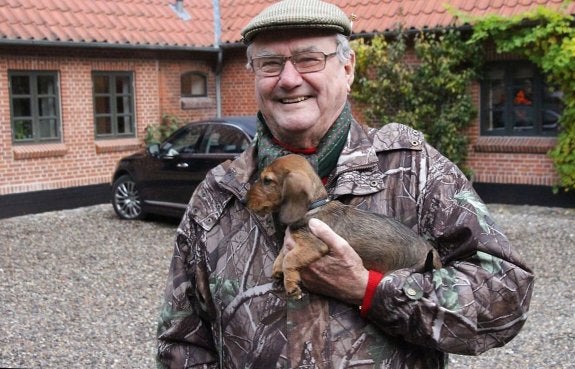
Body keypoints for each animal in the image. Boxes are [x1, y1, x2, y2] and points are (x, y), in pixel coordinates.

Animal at [246, 153, 440, 300]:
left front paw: (291, 284)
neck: (314, 207)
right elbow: (283, 253)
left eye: (267, 180)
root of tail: (433, 253)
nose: (246, 200)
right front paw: (278, 268)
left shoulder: (315, 245)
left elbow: (290, 258)